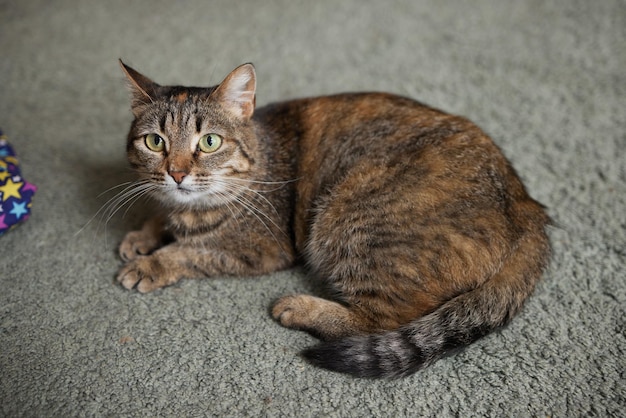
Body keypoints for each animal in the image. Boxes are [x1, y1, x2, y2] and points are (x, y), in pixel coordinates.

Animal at [116, 59, 544, 378]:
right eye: (155, 142)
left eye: (209, 142)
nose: (176, 173)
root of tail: (528, 206)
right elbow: (161, 217)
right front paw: (143, 234)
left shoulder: (259, 247)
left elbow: (192, 250)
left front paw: (151, 263)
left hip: (348, 219)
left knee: (382, 320)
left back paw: (301, 308)